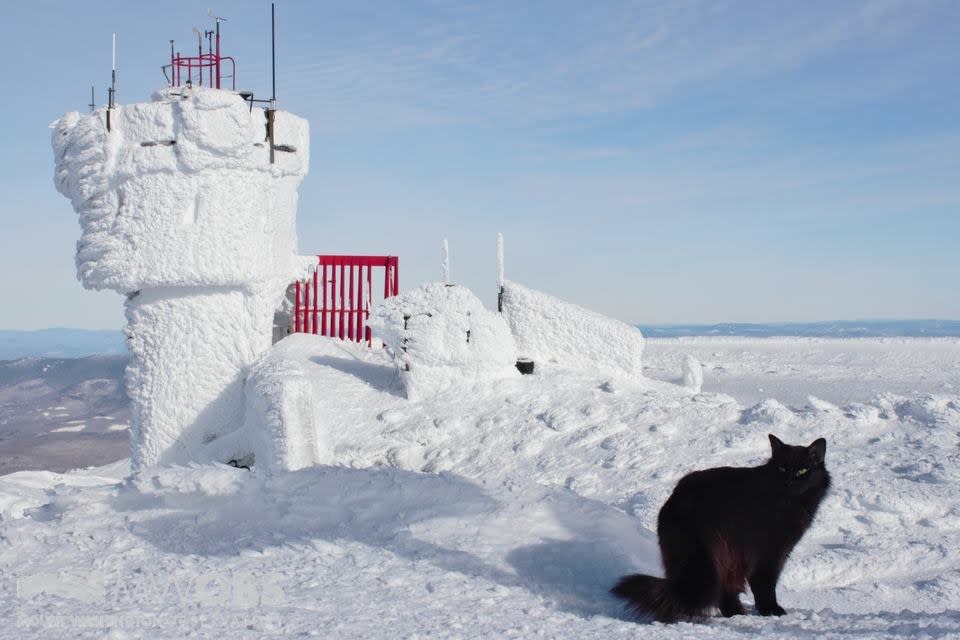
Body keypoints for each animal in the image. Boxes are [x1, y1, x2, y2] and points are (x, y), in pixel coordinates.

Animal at [620, 436, 828, 620]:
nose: (789, 481)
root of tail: (677, 500)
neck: (788, 502)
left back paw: (735, 613)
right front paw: (771, 610)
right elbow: (764, 583)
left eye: (803, 470)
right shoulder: (769, 552)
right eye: (782, 468)